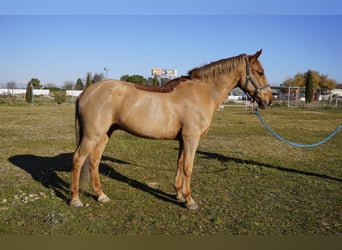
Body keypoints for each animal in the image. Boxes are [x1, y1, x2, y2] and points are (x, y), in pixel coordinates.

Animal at [71, 49, 274, 209]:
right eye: (260, 72)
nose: (269, 99)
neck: (203, 92)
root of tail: (85, 93)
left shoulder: (183, 139)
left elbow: (179, 164)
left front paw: (178, 194)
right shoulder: (191, 138)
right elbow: (188, 167)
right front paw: (190, 200)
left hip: (105, 134)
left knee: (94, 161)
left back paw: (101, 195)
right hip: (92, 135)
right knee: (79, 159)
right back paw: (75, 199)